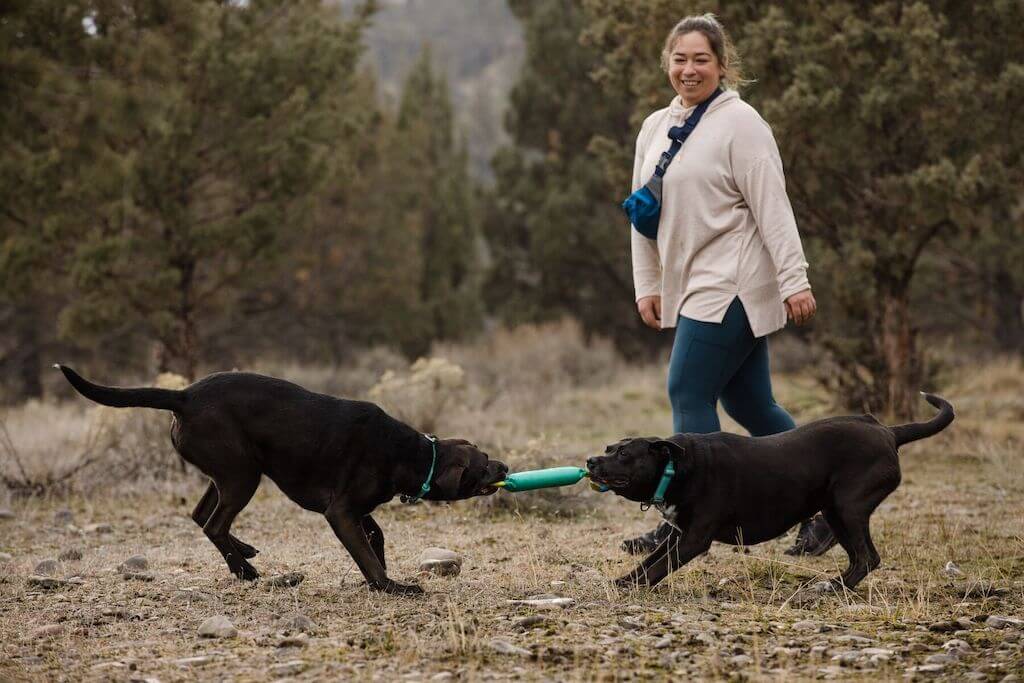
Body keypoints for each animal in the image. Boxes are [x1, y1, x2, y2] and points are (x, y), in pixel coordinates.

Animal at [54, 366, 509, 593]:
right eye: (483, 463)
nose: (505, 467)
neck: (411, 453)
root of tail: (183, 395)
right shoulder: (340, 511)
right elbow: (365, 554)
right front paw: (389, 586)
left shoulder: (357, 510)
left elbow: (375, 538)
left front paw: (381, 573)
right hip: (243, 475)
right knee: (214, 523)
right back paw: (245, 572)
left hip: (229, 472)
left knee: (202, 516)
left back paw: (244, 555)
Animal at [589, 395, 954, 593]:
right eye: (608, 447)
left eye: (624, 453)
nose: (591, 460)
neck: (676, 467)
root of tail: (887, 432)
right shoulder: (678, 535)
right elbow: (650, 559)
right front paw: (625, 580)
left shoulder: (694, 540)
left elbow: (660, 566)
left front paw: (636, 586)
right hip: (836, 511)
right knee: (860, 557)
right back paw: (833, 584)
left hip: (848, 506)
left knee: (867, 558)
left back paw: (832, 588)